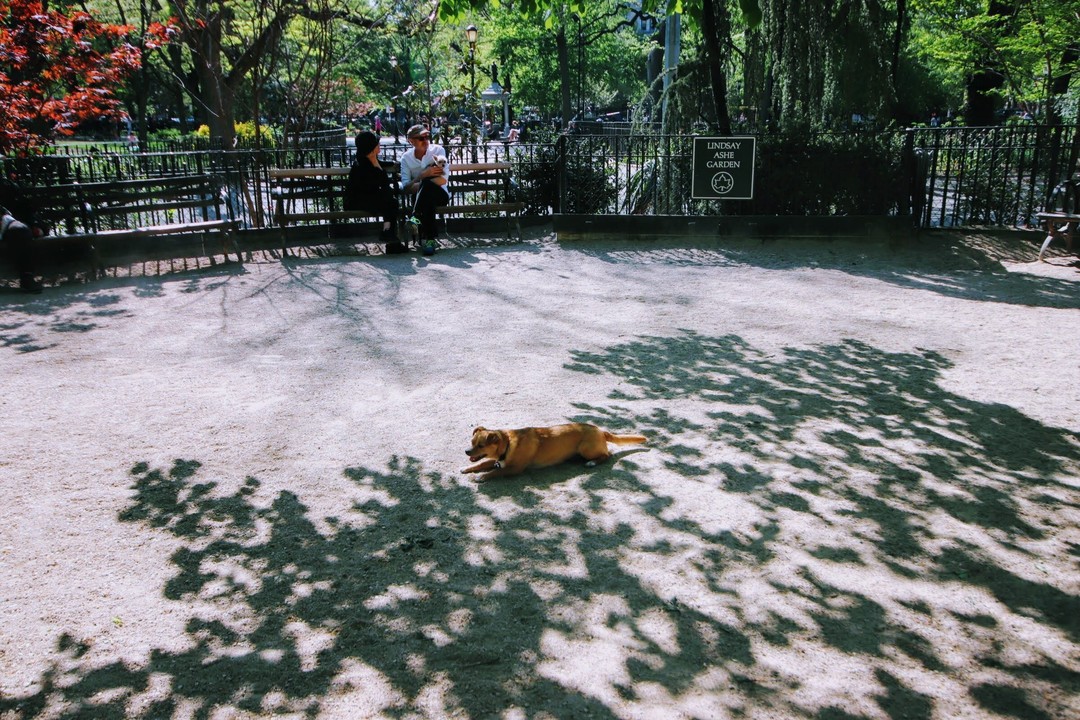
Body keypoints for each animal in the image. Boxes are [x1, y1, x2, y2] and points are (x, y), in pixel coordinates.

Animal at [460, 423, 643, 483]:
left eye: (481, 445)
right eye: (472, 442)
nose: (466, 451)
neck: (508, 444)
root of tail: (601, 430)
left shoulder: (514, 469)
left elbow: (495, 472)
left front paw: (482, 477)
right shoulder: (499, 461)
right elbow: (484, 463)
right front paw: (466, 469)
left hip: (586, 448)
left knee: (607, 455)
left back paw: (592, 462)